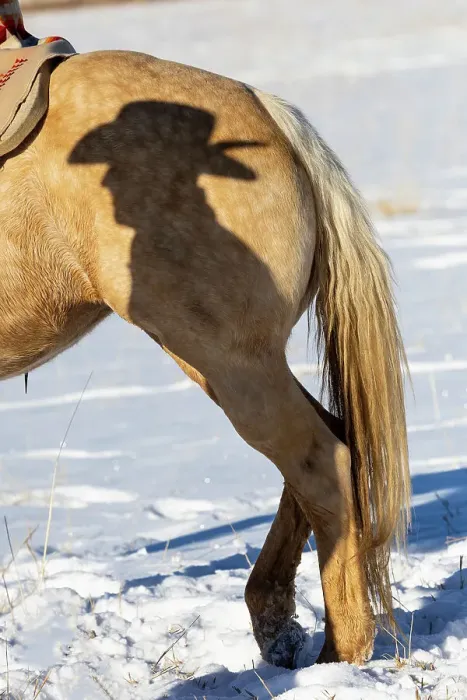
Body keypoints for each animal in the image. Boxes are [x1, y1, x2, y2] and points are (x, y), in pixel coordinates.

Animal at [0, 49, 410, 668]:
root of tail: (267, 110)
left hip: (228, 360)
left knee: (321, 463)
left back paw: (338, 655)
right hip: (230, 361)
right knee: (331, 442)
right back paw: (278, 625)